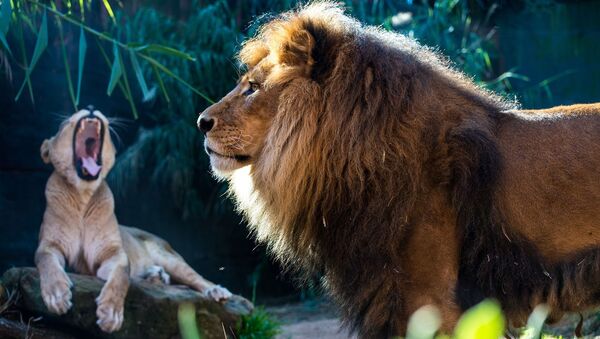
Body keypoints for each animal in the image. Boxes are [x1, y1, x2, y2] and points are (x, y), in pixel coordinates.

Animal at [36, 108, 231, 332]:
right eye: (64, 123)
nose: (91, 108)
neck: (83, 197)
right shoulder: (49, 245)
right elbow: (47, 262)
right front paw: (57, 296)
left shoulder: (115, 253)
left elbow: (120, 278)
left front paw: (111, 315)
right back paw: (156, 275)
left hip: (169, 257)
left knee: (196, 277)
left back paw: (216, 291)